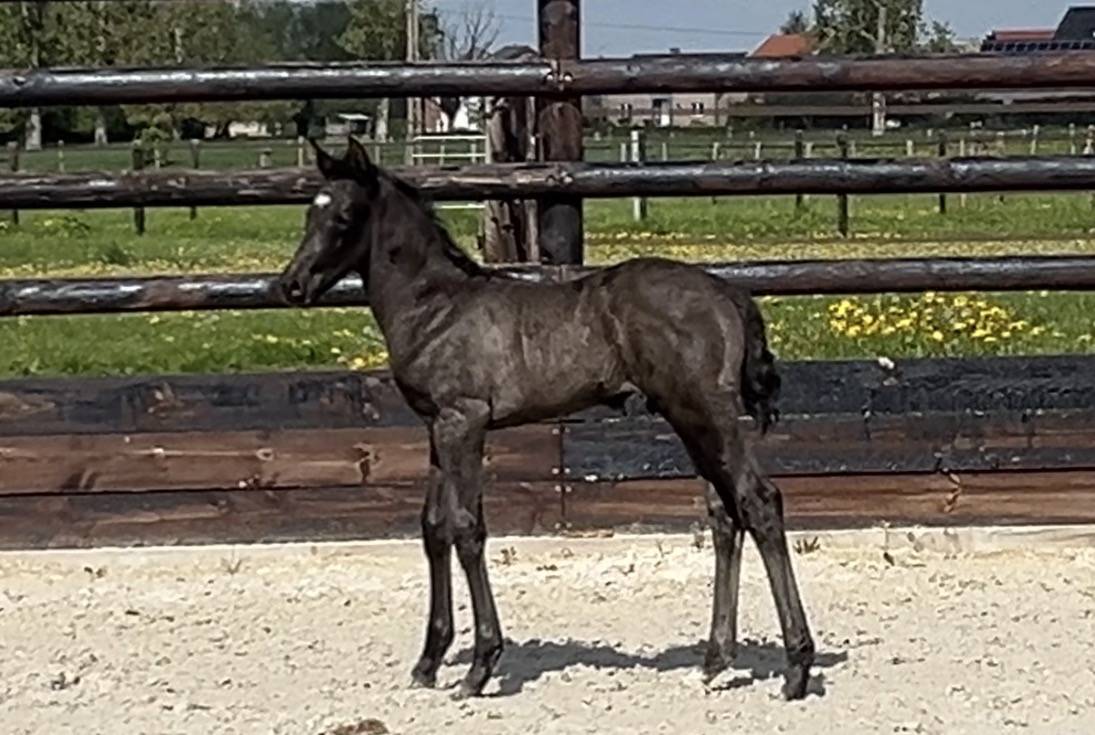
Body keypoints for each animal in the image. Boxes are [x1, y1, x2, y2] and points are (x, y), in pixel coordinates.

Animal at [275, 137, 816, 701]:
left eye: (345, 216)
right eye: (308, 213)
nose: (291, 286)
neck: (437, 308)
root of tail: (730, 293)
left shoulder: (464, 421)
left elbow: (467, 528)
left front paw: (480, 665)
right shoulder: (436, 427)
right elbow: (433, 527)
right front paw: (428, 661)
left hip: (706, 412)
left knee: (758, 501)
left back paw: (797, 667)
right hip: (689, 418)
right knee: (724, 513)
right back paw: (715, 660)